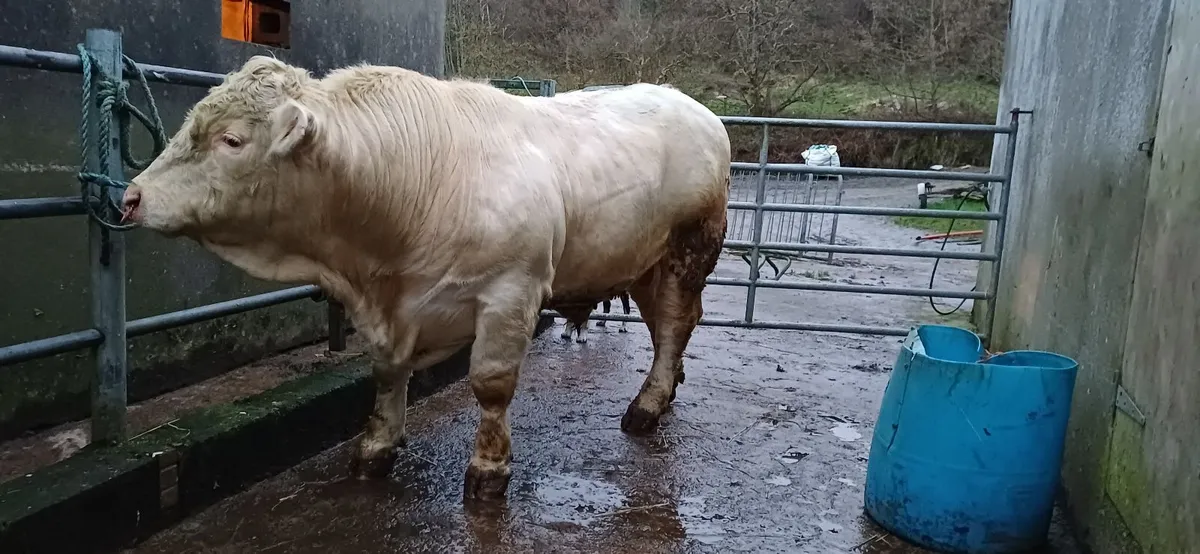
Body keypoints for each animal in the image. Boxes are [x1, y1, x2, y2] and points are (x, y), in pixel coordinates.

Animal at [120, 56, 730, 501]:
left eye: (232, 140)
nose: (131, 197)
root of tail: (693, 106)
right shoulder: (389, 313)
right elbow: (388, 374)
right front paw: (376, 448)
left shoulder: (512, 291)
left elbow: (490, 384)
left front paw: (488, 468)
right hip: (647, 264)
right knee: (665, 330)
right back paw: (667, 390)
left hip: (689, 250)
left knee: (675, 325)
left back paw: (647, 406)